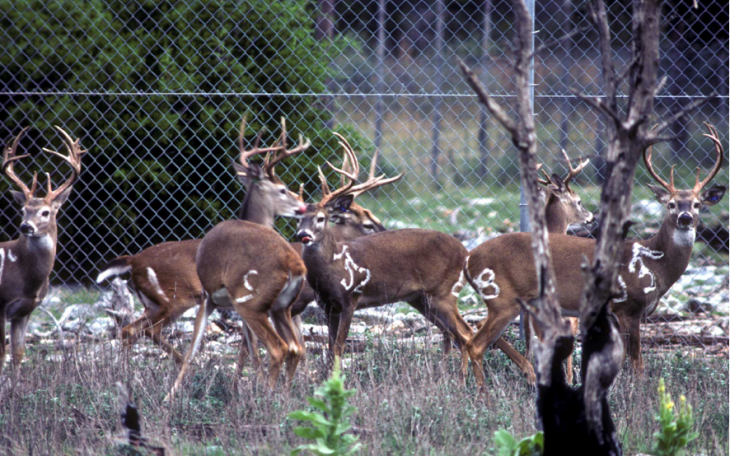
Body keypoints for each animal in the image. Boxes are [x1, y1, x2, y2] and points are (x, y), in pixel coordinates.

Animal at [0, 126, 86, 375]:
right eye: (23, 209)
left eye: (45, 212)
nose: (25, 226)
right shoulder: (1, 304)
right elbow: (2, 354)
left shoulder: (25, 310)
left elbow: (17, 354)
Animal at [96, 116, 309, 363]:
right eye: (283, 189)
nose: (302, 207)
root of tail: (133, 260)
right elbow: (252, 345)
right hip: (174, 298)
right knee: (148, 330)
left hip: (151, 303)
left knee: (129, 330)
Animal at [295, 133, 481, 382]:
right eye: (298, 219)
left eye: (321, 218)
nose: (302, 235)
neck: (333, 269)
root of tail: (465, 252)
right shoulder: (327, 306)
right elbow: (330, 347)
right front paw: (325, 381)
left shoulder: (350, 299)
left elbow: (339, 347)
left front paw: (337, 381)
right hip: (420, 298)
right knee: (451, 333)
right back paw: (448, 375)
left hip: (444, 292)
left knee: (466, 333)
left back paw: (462, 380)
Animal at [464, 123, 726, 389]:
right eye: (671, 204)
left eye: (697, 204)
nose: (685, 218)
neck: (655, 262)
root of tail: (468, 259)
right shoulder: (627, 306)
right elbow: (637, 364)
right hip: (502, 298)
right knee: (476, 344)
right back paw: (483, 391)